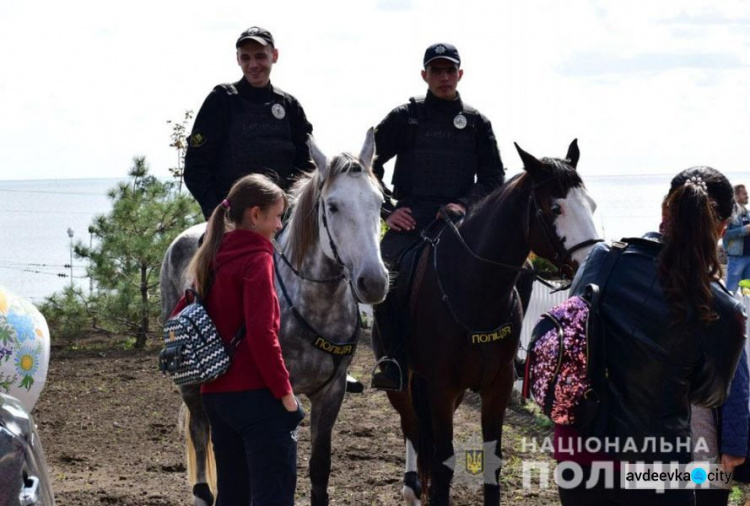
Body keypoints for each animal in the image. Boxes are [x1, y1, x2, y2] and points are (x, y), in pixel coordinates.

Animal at [162, 131, 390, 506]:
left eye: (379, 202)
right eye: (333, 206)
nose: (373, 282)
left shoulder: (331, 394)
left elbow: (319, 468)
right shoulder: (281, 398)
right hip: (191, 386)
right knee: (199, 431)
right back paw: (202, 492)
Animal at [378, 140, 604, 504]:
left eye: (591, 205)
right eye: (555, 208)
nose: (591, 263)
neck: (474, 288)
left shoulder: (495, 387)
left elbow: (491, 462)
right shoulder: (441, 387)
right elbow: (442, 463)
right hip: (403, 383)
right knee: (411, 427)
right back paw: (411, 487)